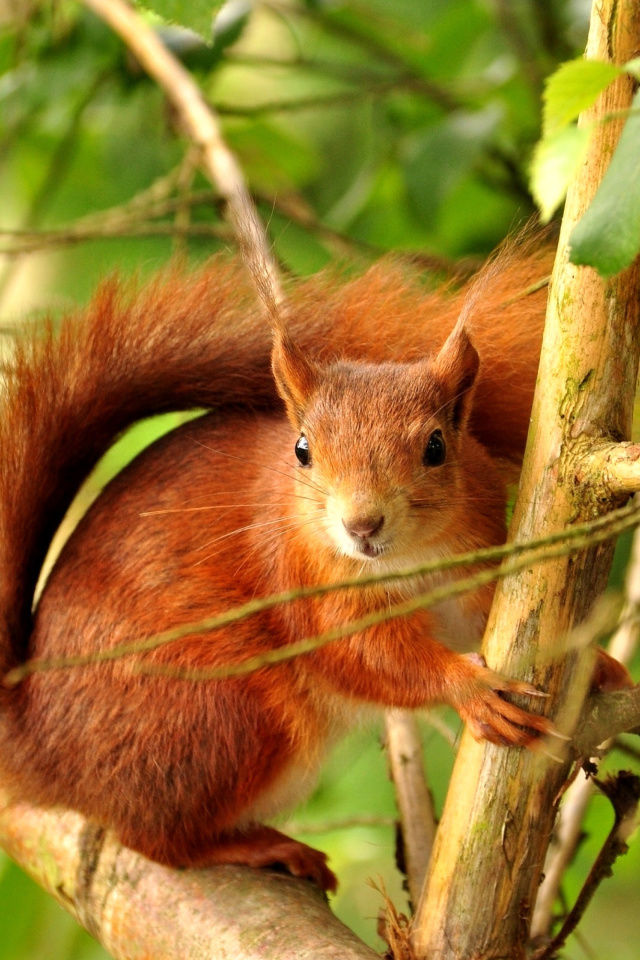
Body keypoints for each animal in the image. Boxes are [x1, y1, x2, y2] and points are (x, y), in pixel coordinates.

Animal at [0, 244, 632, 888]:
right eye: (302, 449)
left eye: (436, 447)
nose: (362, 525)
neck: (410, 560)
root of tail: (41, 745)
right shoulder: (302, 582)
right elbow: (363, 655)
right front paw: (471, 689)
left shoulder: (473, 564)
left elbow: (487, 619)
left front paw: (593, 661)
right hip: (224, 715)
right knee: (154, 839)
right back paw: (257, 847)